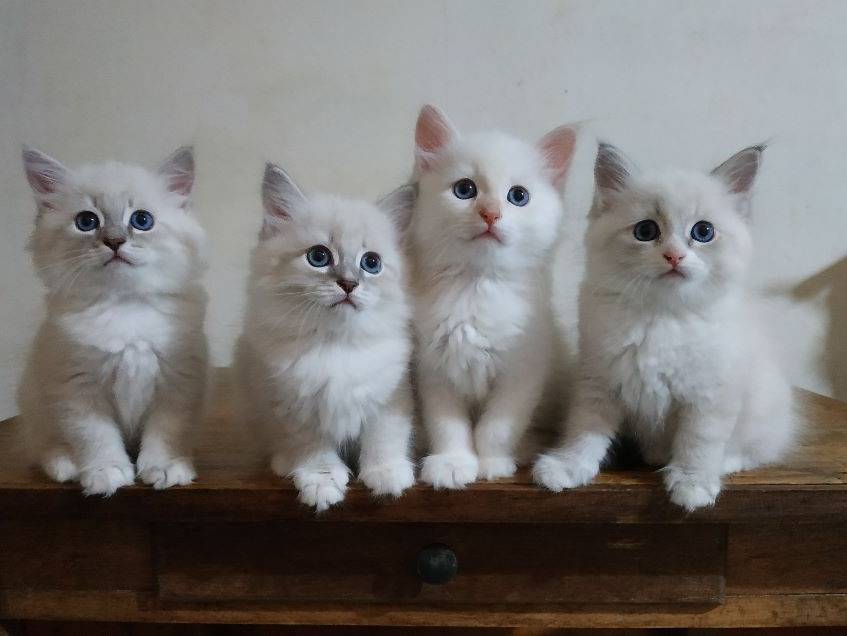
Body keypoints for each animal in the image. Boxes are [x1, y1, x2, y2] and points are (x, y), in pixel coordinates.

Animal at [18, 145, 209, 496]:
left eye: (142, 220)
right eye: (87, 221)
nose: (115, 241)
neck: (124, 306)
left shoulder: (176, 384)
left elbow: (166, 433)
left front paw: (164, 469)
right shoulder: (77, 389)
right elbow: (95, 437)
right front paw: (106, 473)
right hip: (35, 404)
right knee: (44, 448)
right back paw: (68, 467)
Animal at [234, 163, 416, 512]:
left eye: (371, 263)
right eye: (319, 257)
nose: (349, 284)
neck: (336, 343)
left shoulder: (389, 395)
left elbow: (383, 437)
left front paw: (386, 475)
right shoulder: (292, 406)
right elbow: (313, 448)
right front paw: (322, 483)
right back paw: (284, 464)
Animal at [408, 105, 577, 489]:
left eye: (518, 196)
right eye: (465, 189)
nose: (490, 213)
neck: (477, 287)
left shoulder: (523, 371)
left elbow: (496, 428)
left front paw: (491, 463)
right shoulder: (435, 371)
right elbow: (448, 427)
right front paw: (452, 464)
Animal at [533, 142, 796, 511]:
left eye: (703, 232)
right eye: (646, 232)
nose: (674, 256)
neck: (662, 316)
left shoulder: (711, 394)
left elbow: (699, 441)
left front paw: (692, 483)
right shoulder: (598, 379)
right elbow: (584, 428)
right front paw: (567, 467)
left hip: (764, 406)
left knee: (756, 451)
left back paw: (719, 463)